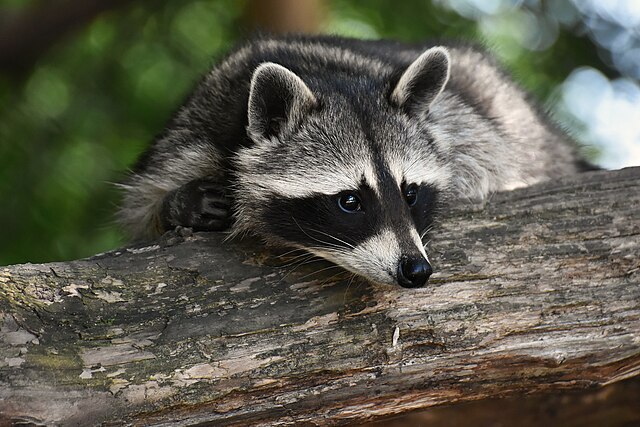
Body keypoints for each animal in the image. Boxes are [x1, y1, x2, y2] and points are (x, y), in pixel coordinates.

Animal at [119, 33, 592, 288]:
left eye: (410, 193)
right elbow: (143, 205)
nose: (416, 270)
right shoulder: (193, 130)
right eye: (350, 201)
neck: (325, 76)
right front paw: (180, 204)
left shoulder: (466, 128)